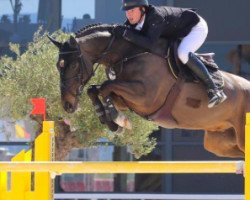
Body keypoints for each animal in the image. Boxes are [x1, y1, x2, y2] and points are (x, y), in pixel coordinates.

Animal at [48, 23, 250, 158]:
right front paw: (111, 119)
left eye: (74, 66)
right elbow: (96, 89)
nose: (67, 105)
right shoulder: (128, 98)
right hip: (218, 142)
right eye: (58, 66)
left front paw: (116, 119)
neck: (129, 54)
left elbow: (106, 87)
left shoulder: (146, 98)